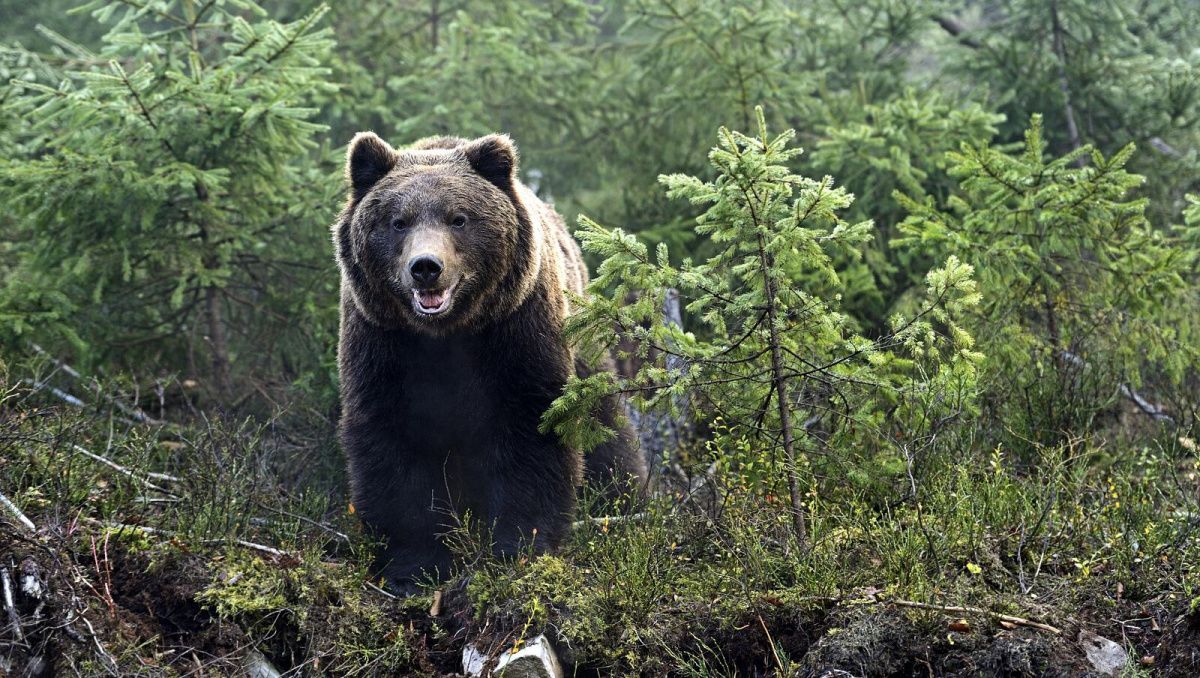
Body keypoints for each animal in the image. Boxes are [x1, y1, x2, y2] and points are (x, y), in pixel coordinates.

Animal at [333, 129, 648, 590]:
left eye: (458, 218)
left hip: (582, 341)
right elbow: (394, 444)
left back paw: (626, 501)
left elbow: (531, 429)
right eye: (398, 221)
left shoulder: (516, 331)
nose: (425, 267)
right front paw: (413, 566)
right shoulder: (383, 343)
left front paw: (519, 547)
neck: (446, 333)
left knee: (606, 428)